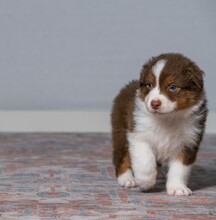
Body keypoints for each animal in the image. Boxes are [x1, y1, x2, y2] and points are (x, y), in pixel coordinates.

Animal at [111, 53, 208, 196]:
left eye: (172, 87)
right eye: (150, 85)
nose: (154, 104)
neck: (167, 119)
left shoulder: (188, 142)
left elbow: (180, 169)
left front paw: (177, 188)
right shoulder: (138, 134)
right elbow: (145, 160)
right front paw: (145, 181)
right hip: (121, 131)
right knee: (122, 157)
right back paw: (127, 179)